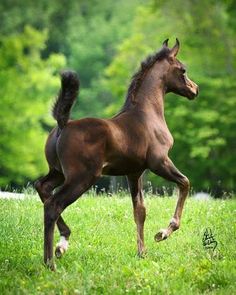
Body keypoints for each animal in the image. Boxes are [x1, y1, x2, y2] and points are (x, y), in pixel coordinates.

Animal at [35, 38, 199, 270]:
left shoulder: (134, 172)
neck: (147, 114)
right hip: (82, 178)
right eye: (182, 70)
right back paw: (51, 261)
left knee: (42, 188)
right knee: (53, 205)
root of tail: (62, 124)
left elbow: (140, 211)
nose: (195, 89)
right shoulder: (159, 162)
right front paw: (163, 233)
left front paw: (142, 253)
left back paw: (62, 244)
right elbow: (185, 183)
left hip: (58, 172)